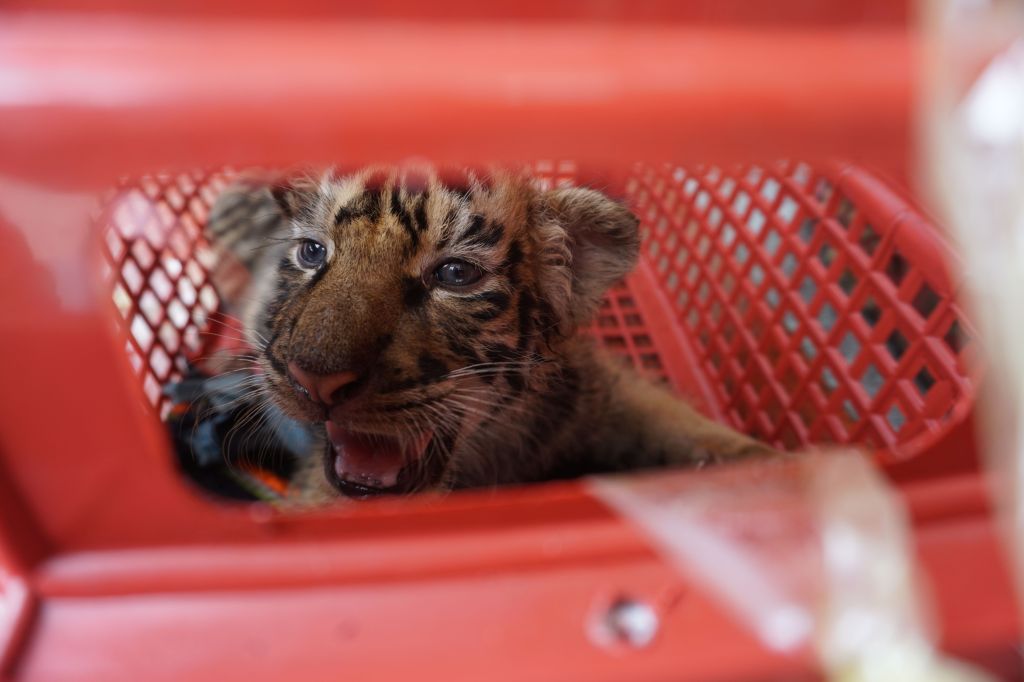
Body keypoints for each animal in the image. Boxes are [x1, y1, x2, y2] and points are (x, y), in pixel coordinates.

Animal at [205, 165, 779, 504]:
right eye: (312, 252)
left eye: (456, 274)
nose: (314, 380)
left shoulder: (606, 389)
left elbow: (681, 424)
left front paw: (773, 471)